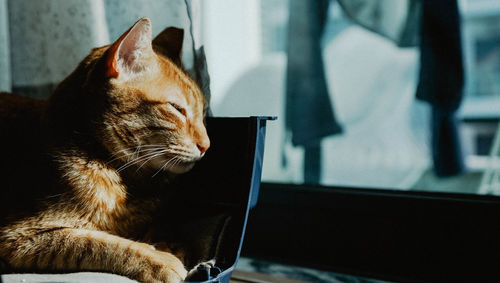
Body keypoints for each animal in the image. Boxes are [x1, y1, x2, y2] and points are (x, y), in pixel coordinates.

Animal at [0, 18, 209, 283]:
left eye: (203, 112)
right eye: (177, 108)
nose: (207, 145)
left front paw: (168, 242)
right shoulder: (20, 236)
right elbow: (100, 242)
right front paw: (160, 259)